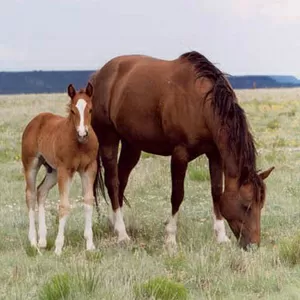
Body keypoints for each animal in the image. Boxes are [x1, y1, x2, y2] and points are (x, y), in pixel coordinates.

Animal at [21, 82, 98, 255]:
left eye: (90, 109)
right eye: (73, 110)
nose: (83, 133)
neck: (79, 145)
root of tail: (37, 119)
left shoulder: (89, 168)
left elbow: (88, 201)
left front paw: (90, 245)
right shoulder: (65, 170)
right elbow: (64, 206)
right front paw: (58, 247)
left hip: (52, 170)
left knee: (41, 191)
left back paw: (43, 240)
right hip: (31, 165)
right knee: (30, 195)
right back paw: (33, 242)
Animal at [91, 51, 274, 251]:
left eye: (261, 204)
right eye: (246, 205)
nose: (254, 245)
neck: (201, 104)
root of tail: (98, 75)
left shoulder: (215, 155)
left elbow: (217, 192)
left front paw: (221, 236)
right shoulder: (180, 154)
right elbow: (177, 195)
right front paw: (170, 238)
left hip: (132, 145)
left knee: (121, 182)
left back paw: (115, 224)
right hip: (108, 139)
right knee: (112, 183)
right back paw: (122, 234)